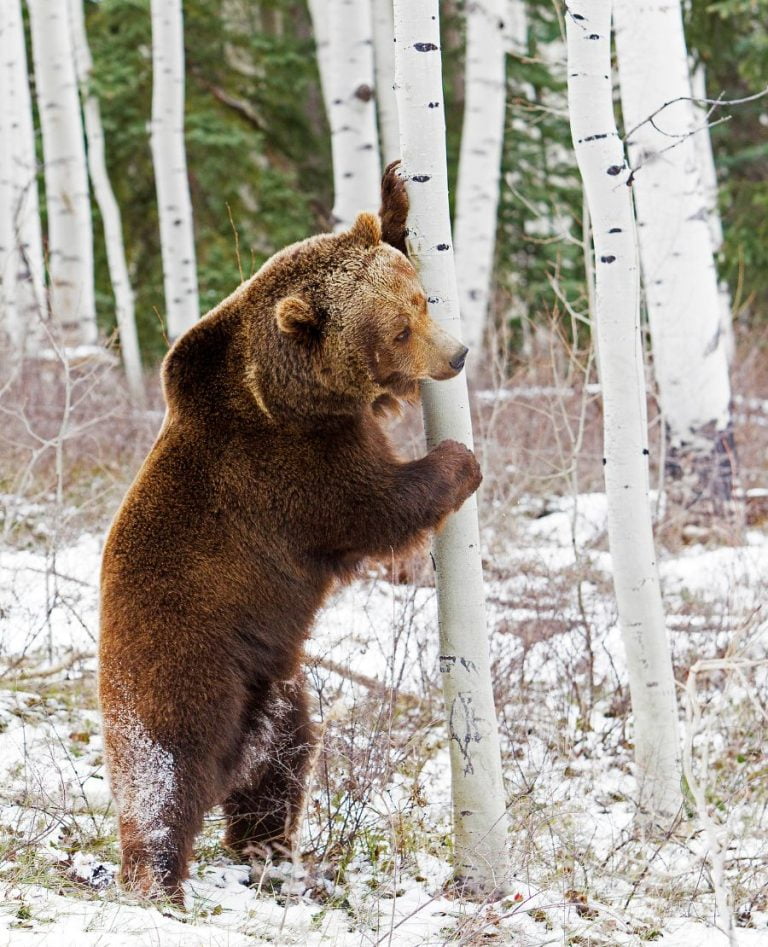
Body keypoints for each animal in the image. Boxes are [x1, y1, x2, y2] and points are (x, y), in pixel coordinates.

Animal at [96, 170, 480, 904]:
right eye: (398, 329)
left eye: (420, 300)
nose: (457, 353)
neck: (291, 391)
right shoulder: (288, 470)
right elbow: (375, 507)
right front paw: (459, 461)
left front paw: (395, 197)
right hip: (182, 662)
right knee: (163, 773)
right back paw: (157, 877)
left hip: (273, 697)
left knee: (280, 766)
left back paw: (271, 853)